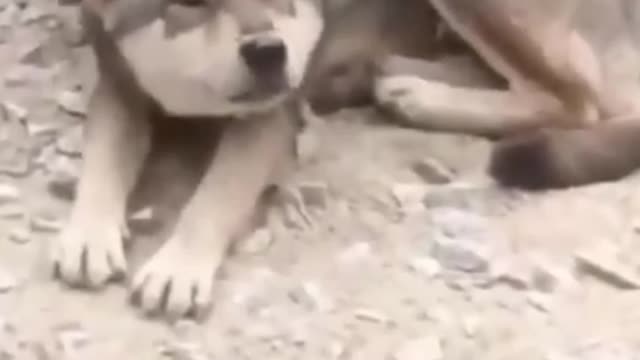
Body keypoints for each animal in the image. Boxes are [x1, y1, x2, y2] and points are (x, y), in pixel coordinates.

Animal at [52, 0, 324, 320]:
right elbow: (103, 159)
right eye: (191, 4)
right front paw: (89, 236)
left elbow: (215, 194)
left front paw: (178, 269)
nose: (266, 51)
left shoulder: (268, 113)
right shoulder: (120, 86)